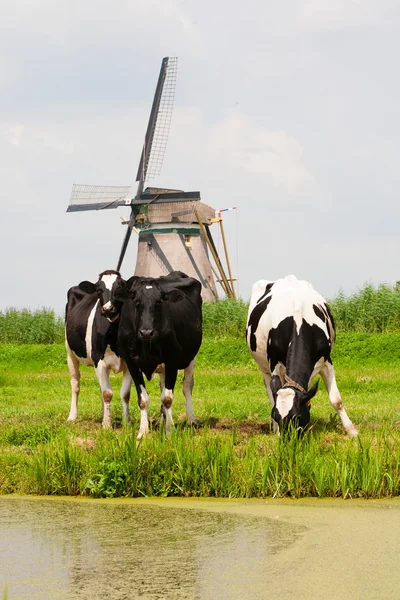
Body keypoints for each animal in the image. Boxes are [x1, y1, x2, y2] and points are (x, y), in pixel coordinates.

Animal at [65, 270, 132, 428]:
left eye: (119, 289)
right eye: (99, 290)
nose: (108, 309)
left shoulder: (130, 362)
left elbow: (125, 394)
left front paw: (127, 423)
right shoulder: (98, 360)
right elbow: (107, 393)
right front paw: (107, 425)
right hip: (70, 353)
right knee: (75, 384)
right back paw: (72, 416)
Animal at [104, 270, 203, 436]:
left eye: (159, 302)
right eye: (137, 302)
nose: (146, 332)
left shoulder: (172, 360)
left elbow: (168, 398)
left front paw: (169, 432)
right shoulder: (132, 364)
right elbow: (143, 399)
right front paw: (143, 432)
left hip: (191, 357)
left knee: (187, 386)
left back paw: (190, 420)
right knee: (163, 387)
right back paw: (162, 421)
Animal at [245, 276, 358, 436]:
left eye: (297, 416)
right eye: (276, 416)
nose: (288, 439)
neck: (298, 321)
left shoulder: (326, 362)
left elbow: (336, 400)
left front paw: (351, 430)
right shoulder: (274, 364)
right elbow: (275, 398)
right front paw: (277, 431)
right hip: (264, 368)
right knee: (270, 392)